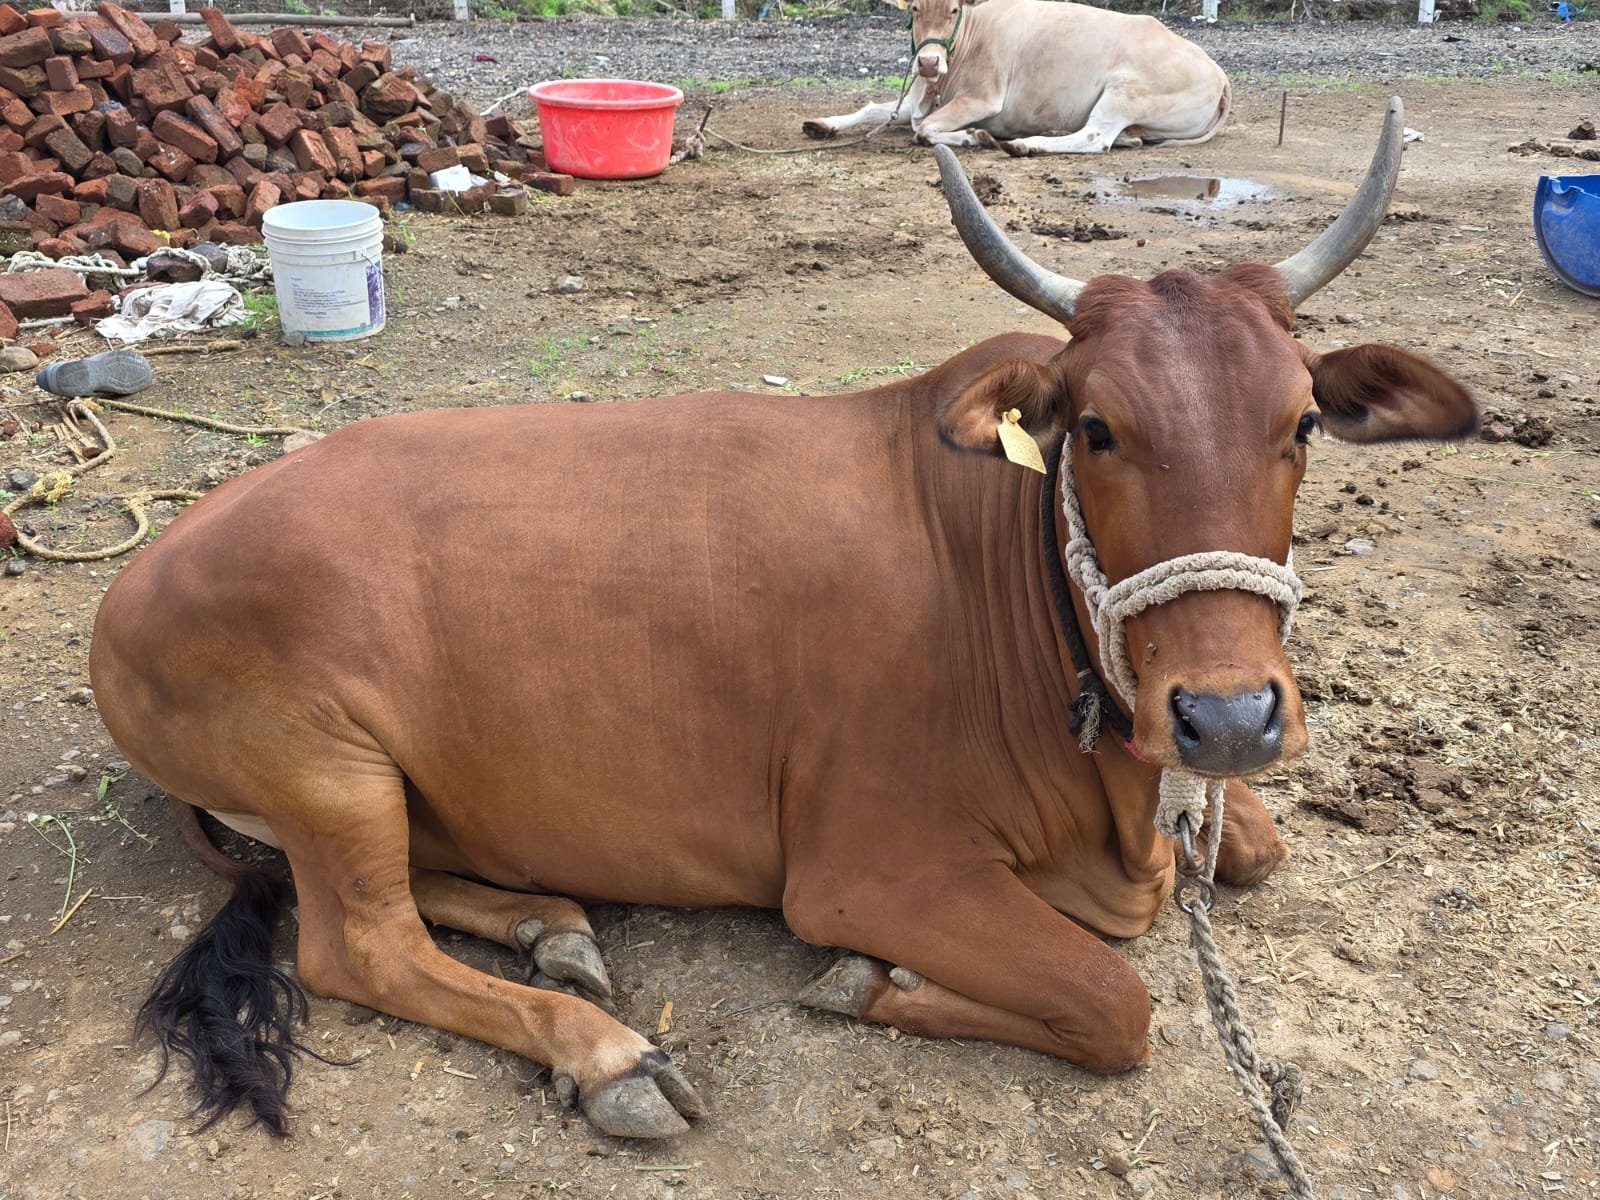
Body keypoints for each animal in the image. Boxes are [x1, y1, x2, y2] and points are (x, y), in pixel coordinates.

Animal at [92, 97, 1473, 1141]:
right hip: (327, 768)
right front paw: (872, 981)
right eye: (1095, 429)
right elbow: (1111, 1005)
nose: (1228, 718)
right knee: (357, 946)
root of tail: (135, 585)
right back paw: (607, 1054)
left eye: (1302, 421)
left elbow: (1258, 848)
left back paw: (551, 924)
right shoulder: (867, 866)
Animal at [802, 0, 1230, 155]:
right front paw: (822, 124)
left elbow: (924, 130)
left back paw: (1028, 144)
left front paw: (974, 137)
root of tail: (1219, 72)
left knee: (1095, 137)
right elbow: (873, 108)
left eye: (954, 9)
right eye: (915, 9)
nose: (927, 63)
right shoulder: (918, 97)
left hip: (1124, 92)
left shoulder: (982, 98)